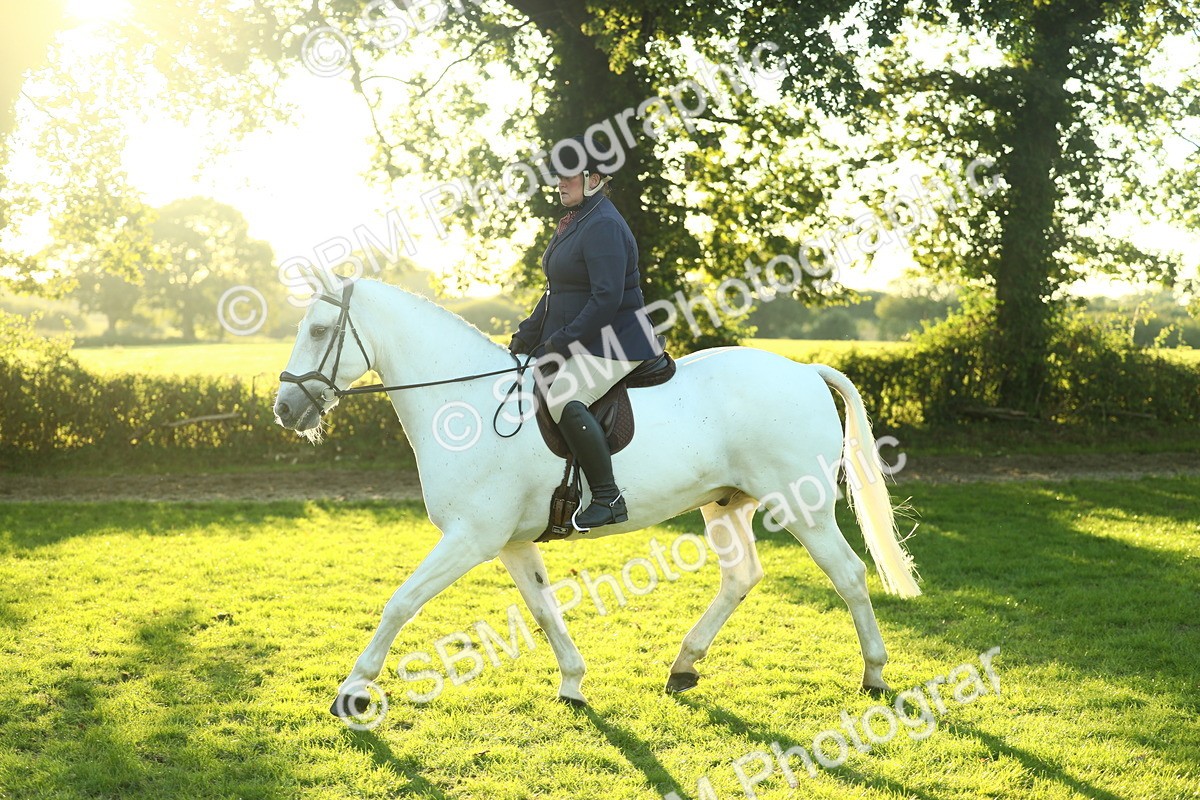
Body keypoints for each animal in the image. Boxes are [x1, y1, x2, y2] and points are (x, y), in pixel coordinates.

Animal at [272, 278, 920, 717]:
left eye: (319, 331)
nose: (284, 409)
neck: (467, 405)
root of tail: (805, 371)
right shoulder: (508, 542)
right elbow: (543, 610)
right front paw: (573, 684)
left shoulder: (470, 538)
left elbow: (400, 603)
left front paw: (352, 692)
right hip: (724, 503)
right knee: (741, 577)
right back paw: (683, 667)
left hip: (802, 507)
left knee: (849, 574)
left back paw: (874, 675)